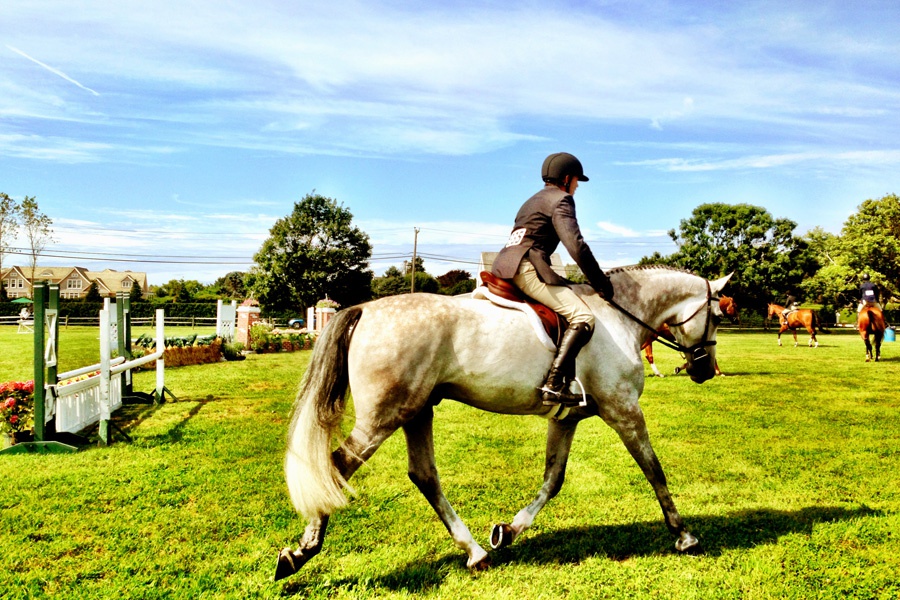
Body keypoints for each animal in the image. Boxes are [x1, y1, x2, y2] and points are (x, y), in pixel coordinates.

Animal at [272, 264, 732, 580]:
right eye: (719, 316)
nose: (704, 370)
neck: (620, 318)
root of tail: (365, 309)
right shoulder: (623, 410)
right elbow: (655, 471)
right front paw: (685, 536)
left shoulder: (567, 418)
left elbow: (553, 479)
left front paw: (508, 531)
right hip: (384, 417)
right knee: (337, 466)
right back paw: (300, 553)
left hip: (416, 411)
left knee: (424, 475)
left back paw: (476, 552)